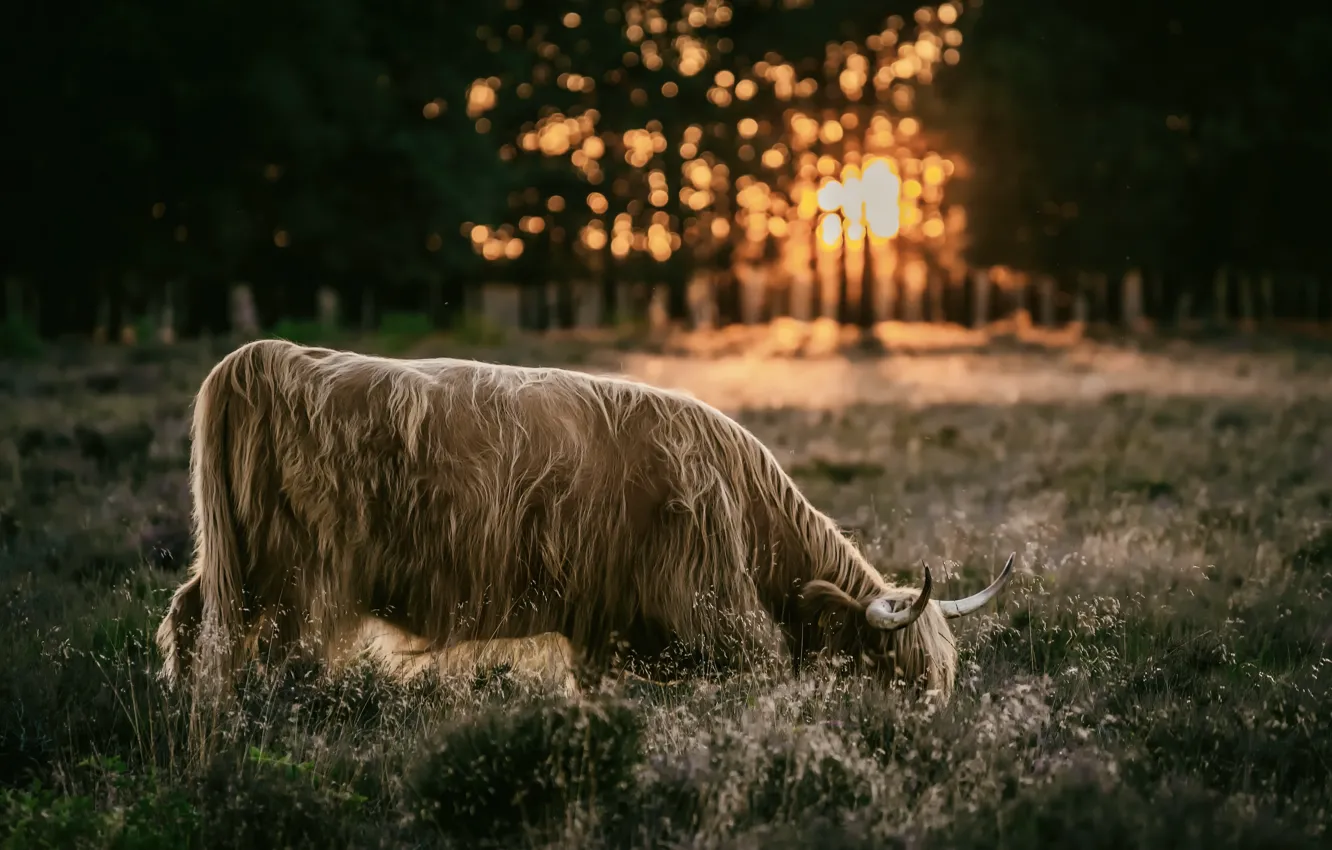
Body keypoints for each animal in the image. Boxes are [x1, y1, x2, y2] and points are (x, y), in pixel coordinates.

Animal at [155, 338, 1015, 704]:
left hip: (239, 562)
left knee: (191, 620)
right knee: (265, 657)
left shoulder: (603, 627)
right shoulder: (712, 618)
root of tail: (264, 357)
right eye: (894, 670)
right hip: (293, 572)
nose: (926, 735)